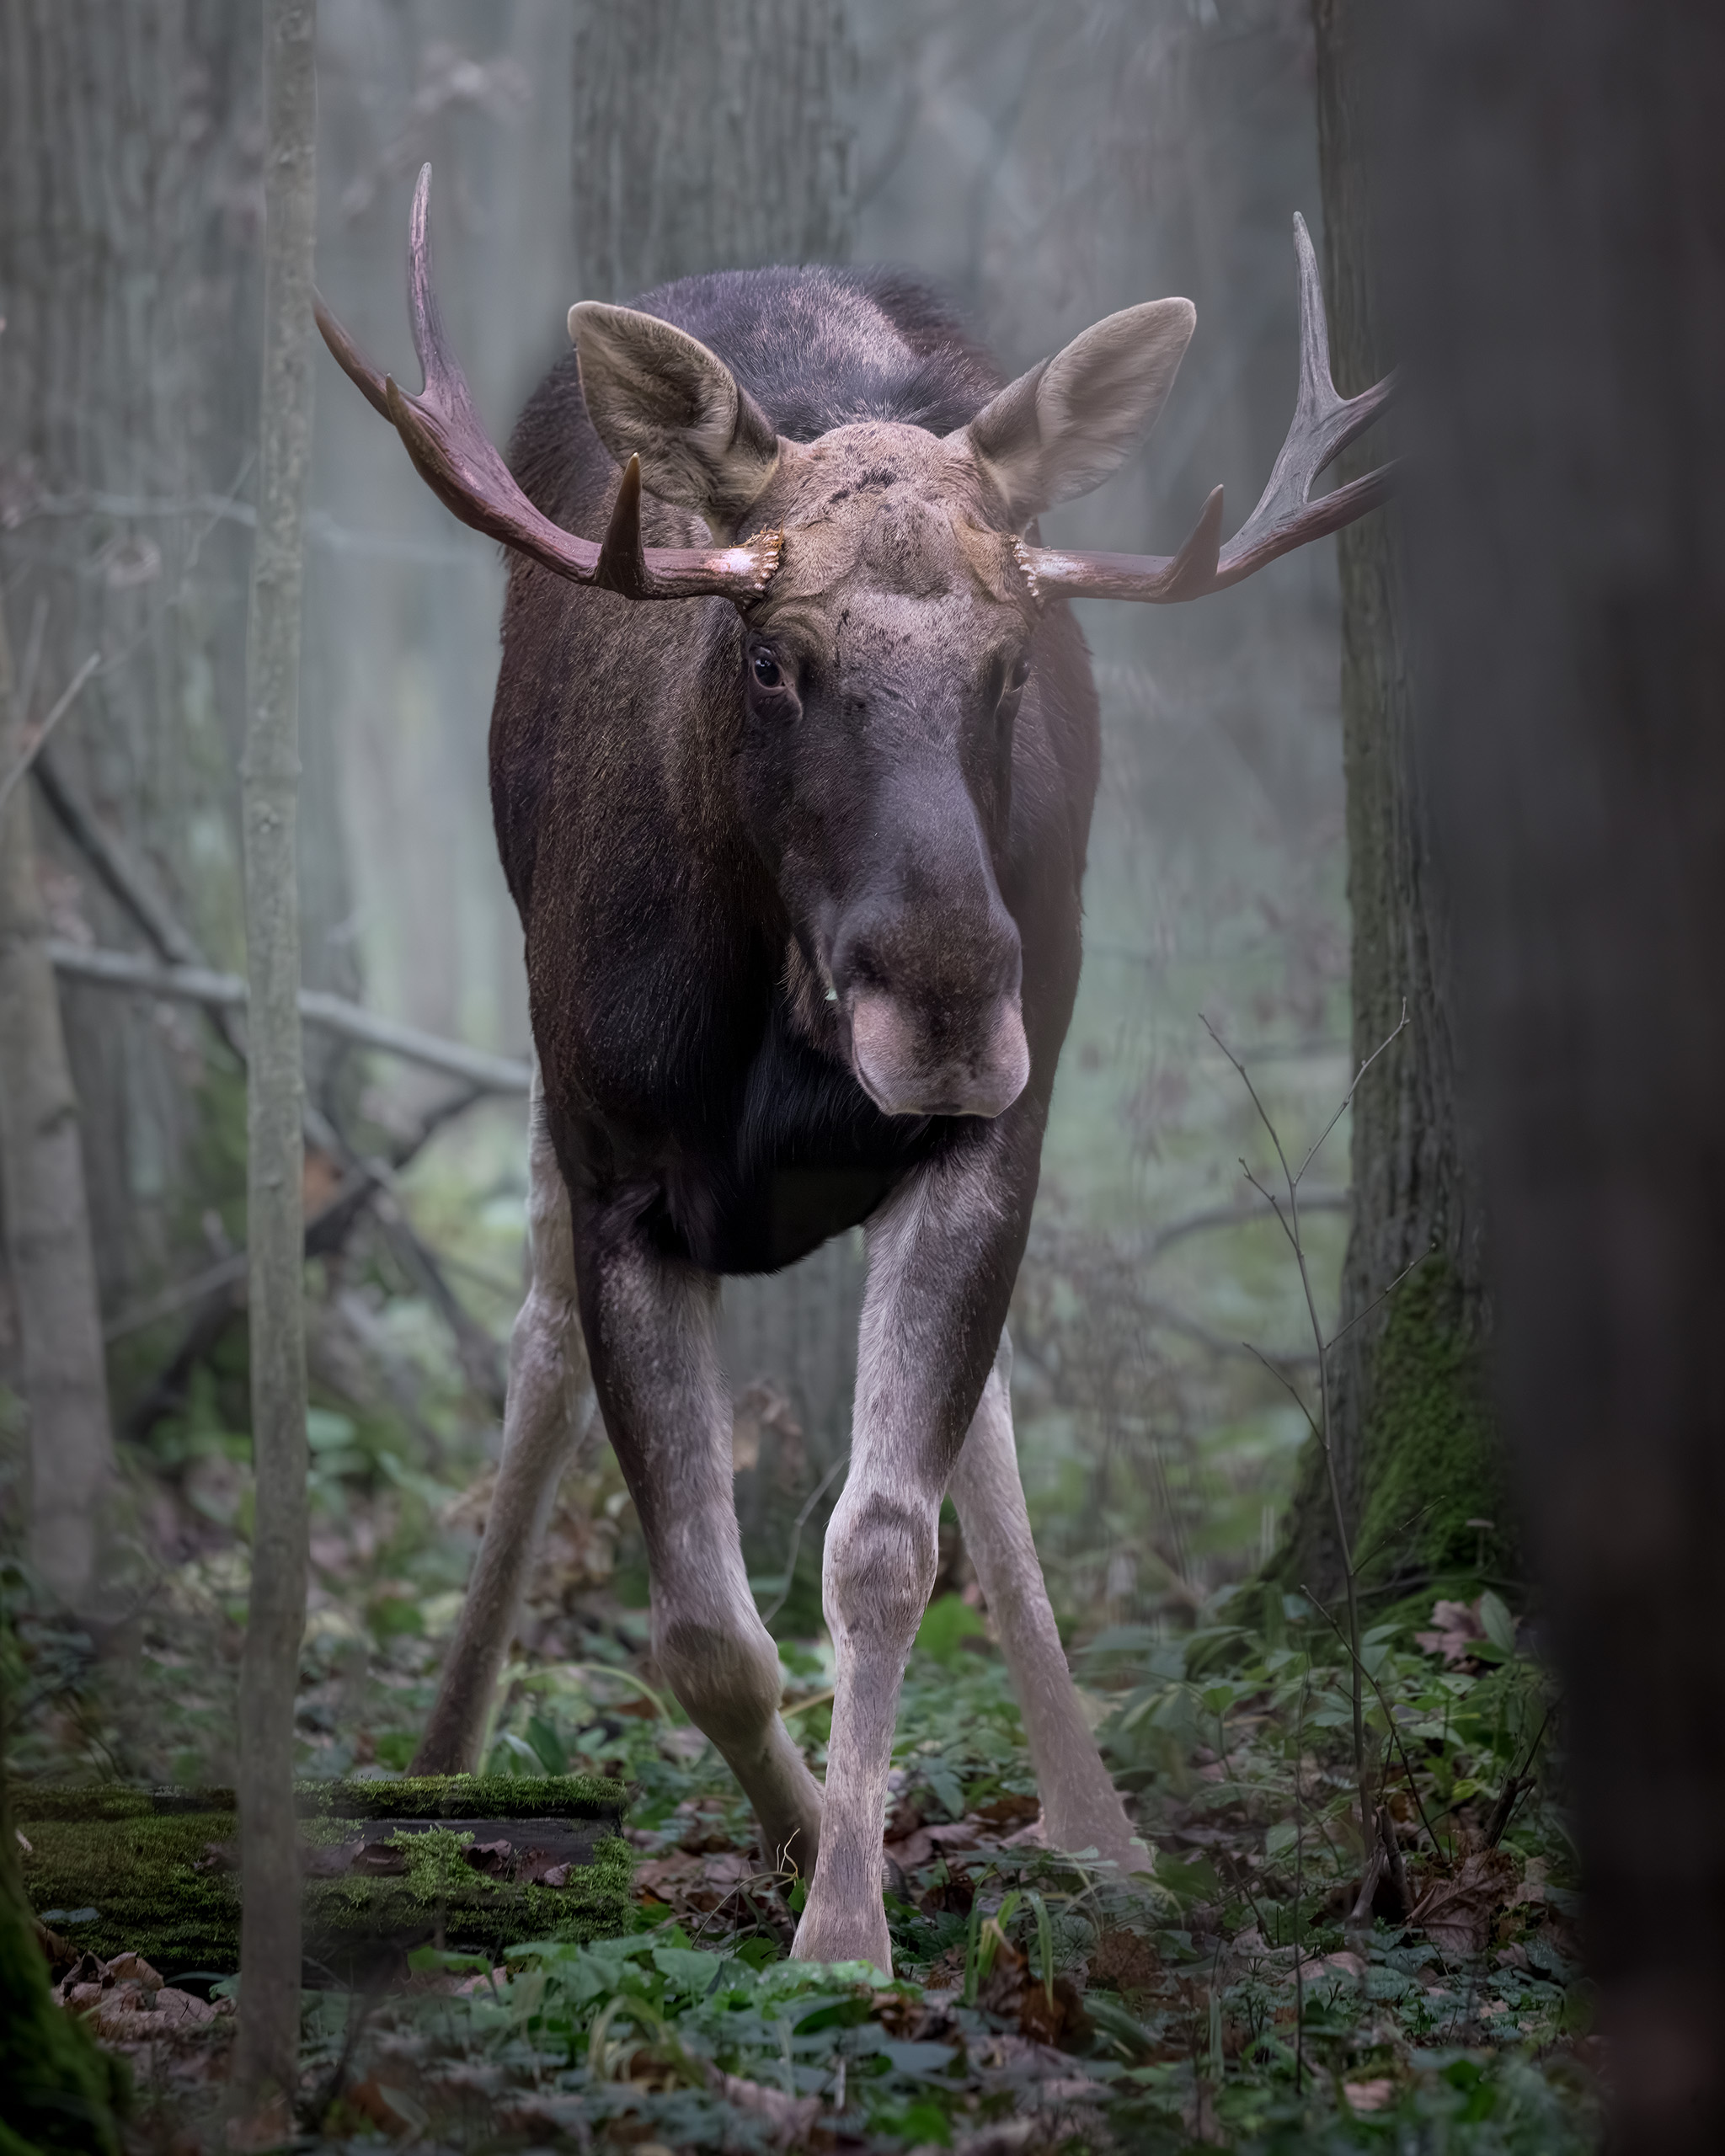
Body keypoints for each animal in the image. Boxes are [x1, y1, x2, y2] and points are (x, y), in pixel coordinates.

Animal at [316, 166, 1391, 1972]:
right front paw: (807, 1843)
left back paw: (1096, 1823)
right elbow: (696, 1625)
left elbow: (888, 1539)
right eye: (770, 654)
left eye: (1013, 662)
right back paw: (441, 1757)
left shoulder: (985, 1135)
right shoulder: (615, 1160)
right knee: (534, 1351)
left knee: (988, 1432)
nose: (947, 999)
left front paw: (847, 1915)